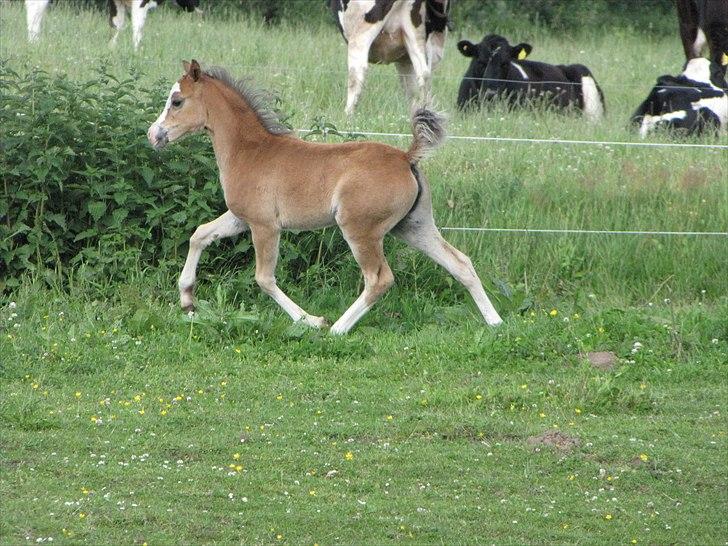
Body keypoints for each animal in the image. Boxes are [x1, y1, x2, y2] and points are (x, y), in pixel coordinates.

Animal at [147, 60, 503, 334]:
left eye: (176, 101)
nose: (154, 135)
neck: (249, 150)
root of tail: (406, 157)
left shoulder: (265, 226)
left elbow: (264, 278)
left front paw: (311, 320)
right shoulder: (240, 217)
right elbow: (199, 235)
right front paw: (188, 301)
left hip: (360, 229)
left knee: (379, 279)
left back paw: (337, 329)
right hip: (414, 227)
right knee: (460, 263)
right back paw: (496, 322)